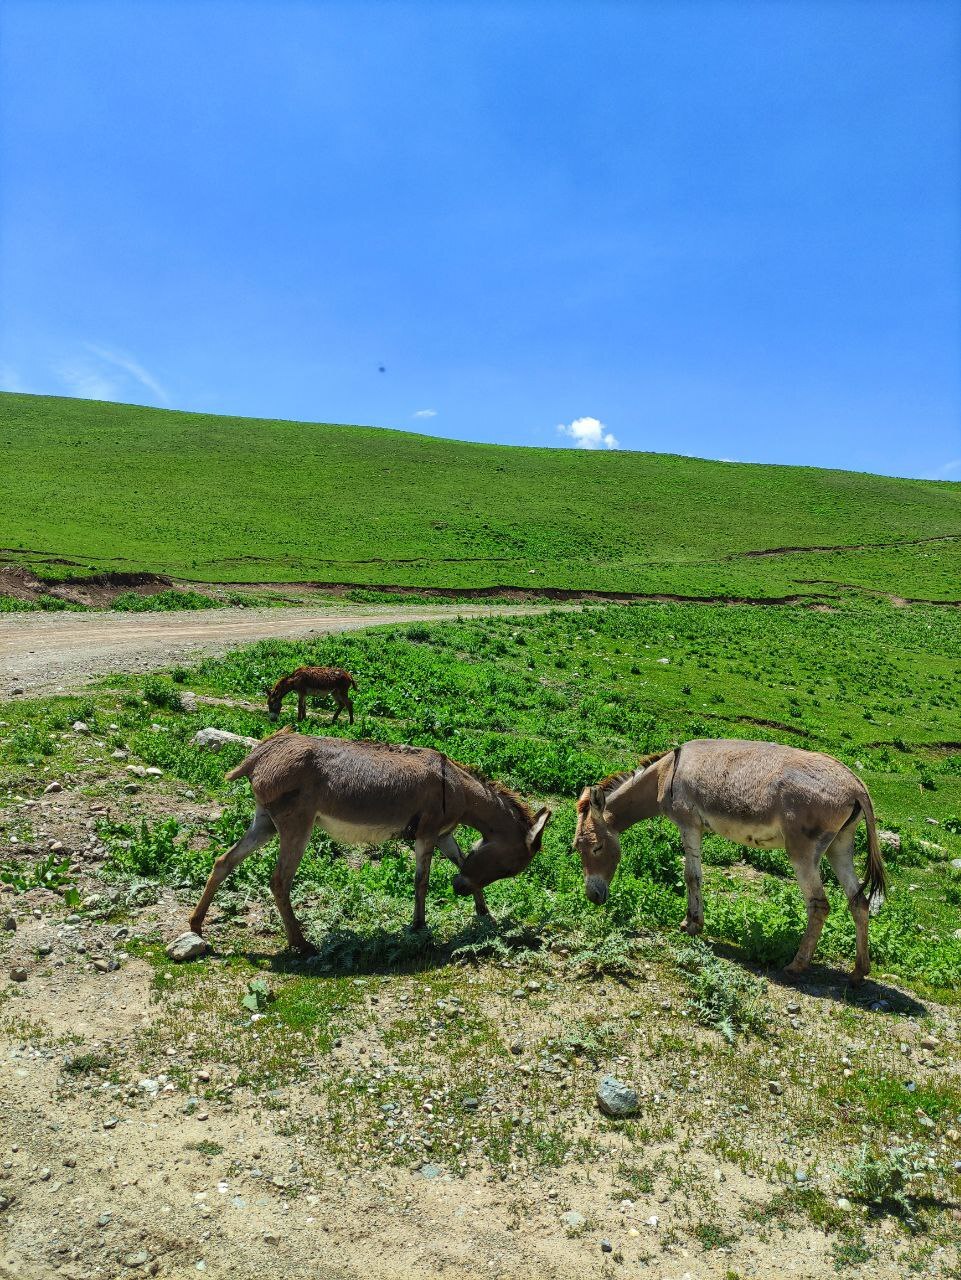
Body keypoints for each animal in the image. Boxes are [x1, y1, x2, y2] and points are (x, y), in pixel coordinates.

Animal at [188, 732, 552, 952]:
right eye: (509, 867)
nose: (458, 889)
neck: (456, 787)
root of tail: (262, 753)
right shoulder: (428, 833)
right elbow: (421, 880)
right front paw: (418, 926)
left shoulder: (443, 835)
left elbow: (461, 860)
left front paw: (483, 912)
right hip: (296, 825)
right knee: (279, 881)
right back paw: (301, 943)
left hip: (265, 822)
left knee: (224, 861)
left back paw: (196, 924)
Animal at [575, 742, 890, 977]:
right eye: (576, 848)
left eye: (597, 848)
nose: (593, 897)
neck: (665, 774)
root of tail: (856, 785)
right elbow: (693, 876)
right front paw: (689, 921)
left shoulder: (689, 825)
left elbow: (692, 876)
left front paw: (693, 925)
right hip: (840, 846)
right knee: (858, 901)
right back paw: (859, 973)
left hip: (802, 852)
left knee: (819, 904)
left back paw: (796, 965)